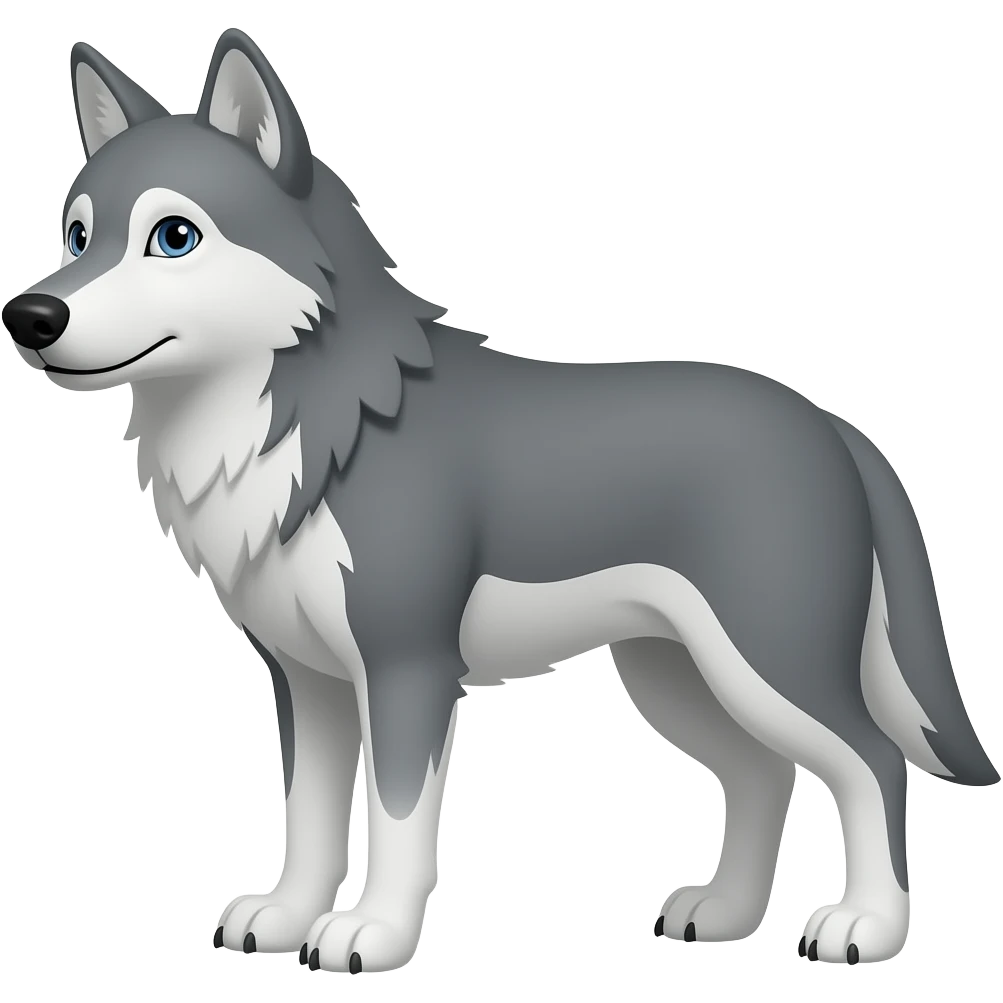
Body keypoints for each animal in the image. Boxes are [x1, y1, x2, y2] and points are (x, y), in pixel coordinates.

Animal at [2, 29, 995, 974]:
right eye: (76, 234)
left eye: (173, 236)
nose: (30, 316)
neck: (308, 426)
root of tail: (830, 423)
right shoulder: (307, 680)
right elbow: (308, 818)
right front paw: (285, 918)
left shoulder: (406, 669)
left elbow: (397, 820)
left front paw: (371, 934)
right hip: (676, 675)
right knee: (763, 774)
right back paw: (722, 914)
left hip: (765, 661)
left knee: (873, 762)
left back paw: (864, 927)